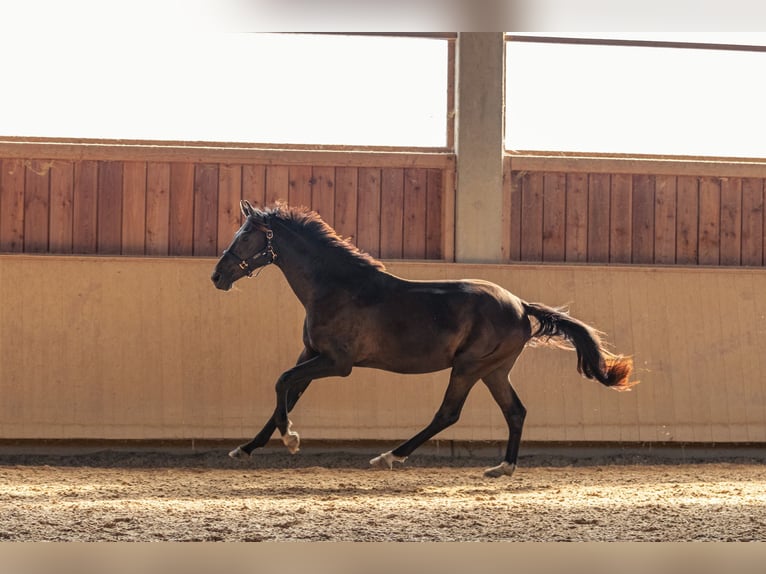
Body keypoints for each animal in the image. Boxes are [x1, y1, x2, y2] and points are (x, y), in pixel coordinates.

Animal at [213, 202, 640, 482]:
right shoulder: (312, 354)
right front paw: (246, 448)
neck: (336, 287)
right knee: (515, 411)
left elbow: (282, 381)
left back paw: (390, 456)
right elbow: (286, 393)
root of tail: (520, 305)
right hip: (494, 370)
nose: (217, 276)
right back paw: (502, 467)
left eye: (246, 236)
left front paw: (291, 439)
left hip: (468, 367)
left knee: (448, 413)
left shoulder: (336, 363)